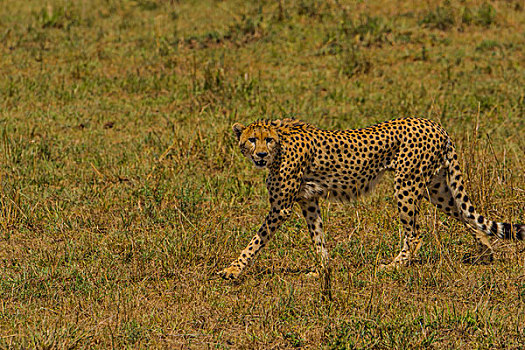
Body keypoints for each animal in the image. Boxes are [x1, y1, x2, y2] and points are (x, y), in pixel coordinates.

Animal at [218, 118, 524, 278]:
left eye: (267, 139)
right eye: (251, 139)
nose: (260, 155)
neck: (280, 146)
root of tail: (434, 124)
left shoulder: (281, 207)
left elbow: (255, 241)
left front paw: (233, 269)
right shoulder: (309, 201)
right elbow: (318, 238)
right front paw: (323, 270)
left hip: (406, 184)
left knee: (415, 234)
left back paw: (395, 265)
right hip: (436, 189)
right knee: (466, 215)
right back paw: (485, 252)